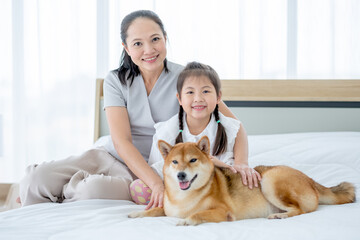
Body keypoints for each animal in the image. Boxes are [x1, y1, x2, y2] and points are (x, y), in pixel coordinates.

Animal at [128, 137, 356, 225]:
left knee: (300, 210)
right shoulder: (168, 209)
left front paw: (186, 220)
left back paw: (280, 216)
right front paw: (138, 213)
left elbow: (198, 214)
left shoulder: (222, 212)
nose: (181, 175)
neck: (183, 198)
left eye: (193, 160)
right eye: (175, 162)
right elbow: (154, 211)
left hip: (269, 181)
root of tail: (310, 179)